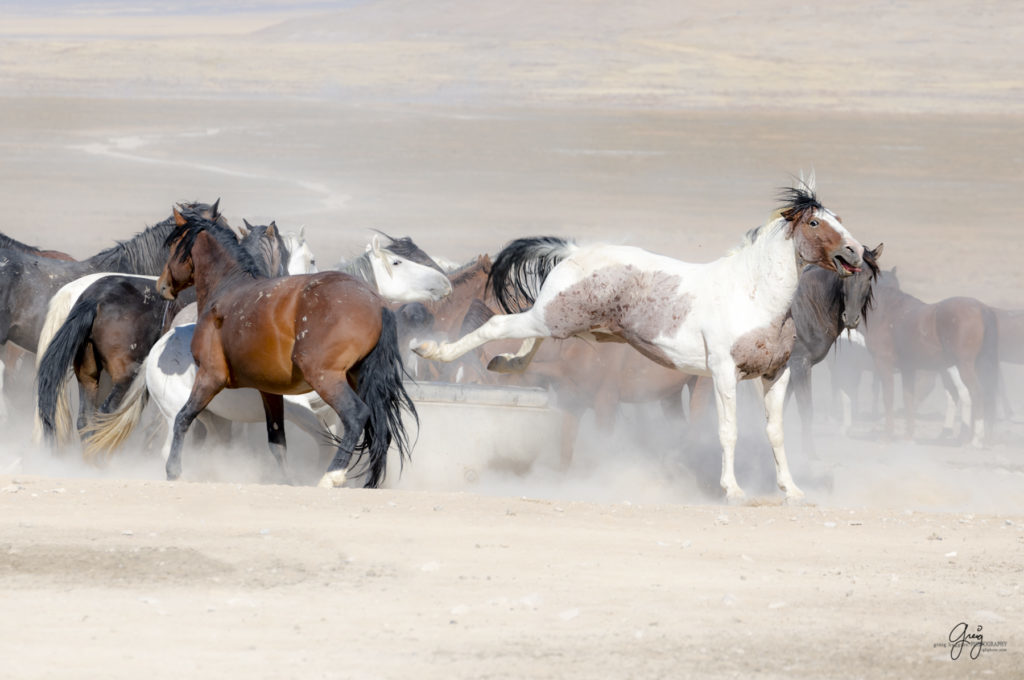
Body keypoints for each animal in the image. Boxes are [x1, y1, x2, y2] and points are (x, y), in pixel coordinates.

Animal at [153, 209, 425, 485]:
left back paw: (331, 476)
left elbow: (183, 418)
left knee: (356, 415)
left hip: (326, 377)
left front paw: (173, 471)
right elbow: (277, 441)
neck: (227, 290)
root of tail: (375, 301)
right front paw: (286, 480)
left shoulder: (211, 376)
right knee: (378, 428)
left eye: (173, 246)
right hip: (359, 378)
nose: (162, 285)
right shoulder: (269, 391)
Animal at [415, 183, 864, 501]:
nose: (856, 251)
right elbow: (728, 430)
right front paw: (733, 490)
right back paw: (433, 349)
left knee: (528, 342)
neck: (753, 295)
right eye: (814, 224)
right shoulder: (723, 374)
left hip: (559, 321)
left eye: (841, 218)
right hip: (553, 315)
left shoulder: (775, 374)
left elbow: (776, 433)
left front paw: (792, 490)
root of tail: (575, 251)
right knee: (496, 326)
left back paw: (505, 364)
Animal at [864, 270, 999, 446]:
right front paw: (908, 437)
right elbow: (908, 398)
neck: (887, 311)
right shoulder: (908, 368)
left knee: (975, 393)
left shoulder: (883, 363)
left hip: (964, 366)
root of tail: (981, 308)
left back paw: (975, 440)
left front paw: (887, 435)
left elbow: (888, 397)